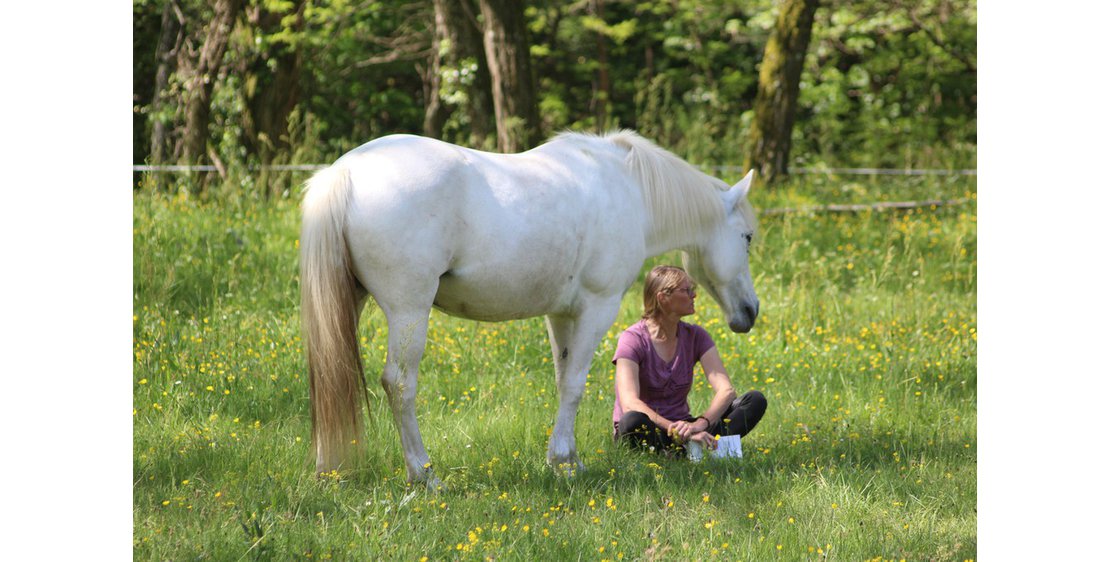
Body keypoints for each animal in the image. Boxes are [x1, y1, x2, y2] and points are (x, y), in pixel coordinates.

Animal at [299, 129, 759, 484]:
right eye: (748, 237)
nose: (750, 312)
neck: (628, 189)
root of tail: (345, 172)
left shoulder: (561, 314)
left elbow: (562, 380)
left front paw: (566, 461)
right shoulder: (596, 308)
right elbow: (574, 385)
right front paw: (565, 462)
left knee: (331, 373)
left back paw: (329, 471)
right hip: (409, 311)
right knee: (399, 384)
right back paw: (424, 475)